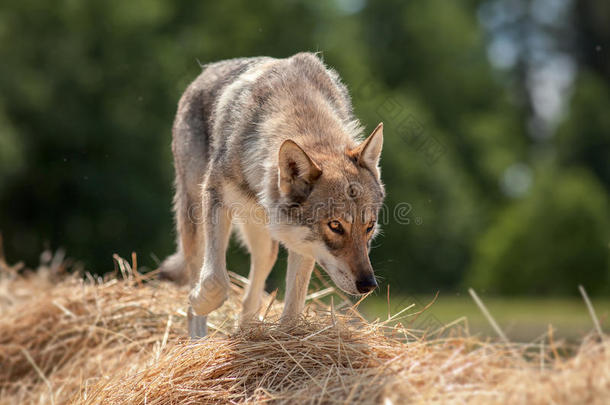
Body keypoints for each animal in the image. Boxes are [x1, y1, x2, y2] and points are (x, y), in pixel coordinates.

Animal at [159, 52, 382, 336]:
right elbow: (215, 282)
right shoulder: (215, 197)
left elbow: (293, 309)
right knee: (198, 280)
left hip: (266, 243)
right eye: (335, 226)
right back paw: (198, 338)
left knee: (250, 298)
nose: (369, 285)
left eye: (369, 227)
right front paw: (198, 300)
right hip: (196, 215)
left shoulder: (303, 243)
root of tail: (204, 73)